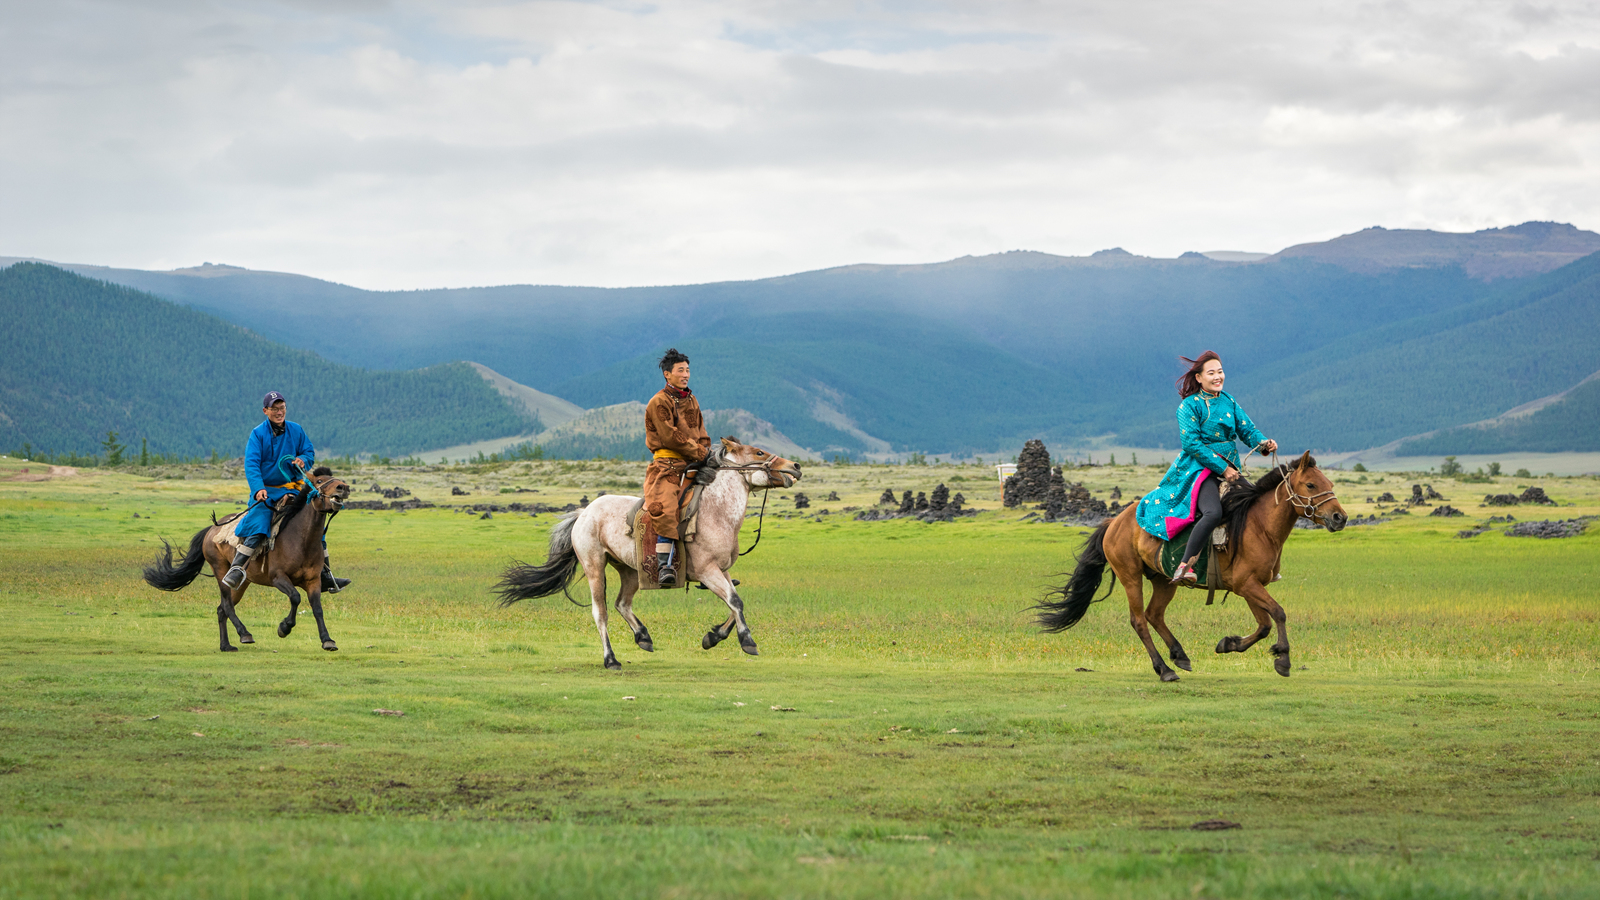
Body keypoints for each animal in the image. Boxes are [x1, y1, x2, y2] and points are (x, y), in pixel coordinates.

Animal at [142, 467, 351, 652]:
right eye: (319, 481)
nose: (343, 487)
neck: (301, 539)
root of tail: (211, 529)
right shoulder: (278, 578)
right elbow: (295, 597)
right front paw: (284, 628)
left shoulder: (313, 580)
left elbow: (317, 608)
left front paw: (327, 640)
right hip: (221, 571)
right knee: (226, 605)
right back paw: (244, 634)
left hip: (242, 583)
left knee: (221, 609)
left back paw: (226, 646)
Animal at [494, 437, 801, 670]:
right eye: (759, 452)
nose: (796, 466)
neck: (716, 512)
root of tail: (584, 513)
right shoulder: (708, 571)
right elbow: (736, 602)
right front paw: (747, 642)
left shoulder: (722, 571)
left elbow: (735, 602)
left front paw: (713, 636)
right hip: (595, 566)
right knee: (601, 612)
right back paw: (611, 660)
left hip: (631, 570)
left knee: (622, 603)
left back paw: (643, 636)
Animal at [1033, 451, 1346, 682]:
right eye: (1310, 485)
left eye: (1329, 484)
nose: (1339, 518)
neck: (1258, 525)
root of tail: (1115, 522)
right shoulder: (1247, 584)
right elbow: (1278, 614)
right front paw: (1283, 659)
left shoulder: (1249, 586)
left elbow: (1264, 624)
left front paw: (1229, 644)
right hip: (1130, 576)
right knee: (1139, 620)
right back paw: (1164, 669)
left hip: (1163, 580)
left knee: (1154, 615)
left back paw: (1179, 655)